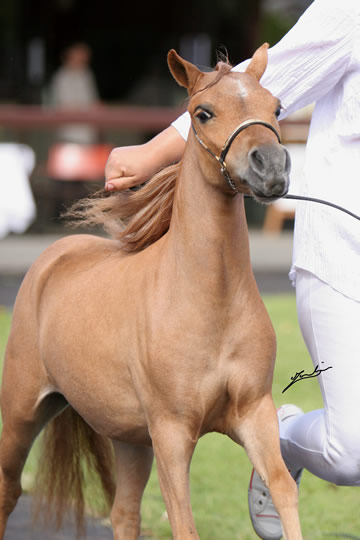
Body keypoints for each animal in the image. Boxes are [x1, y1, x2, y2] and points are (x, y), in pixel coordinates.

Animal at [1, 47, 302, 540]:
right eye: (203, 113)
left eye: (275, 107)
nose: (272, 167)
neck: (208, 302)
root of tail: (54, 257)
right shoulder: (171, 433)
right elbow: (184, 521)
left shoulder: (254, 415)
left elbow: (282, 488)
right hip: (22, 414)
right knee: (8, 492)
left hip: (129, 439)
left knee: (124, 514)